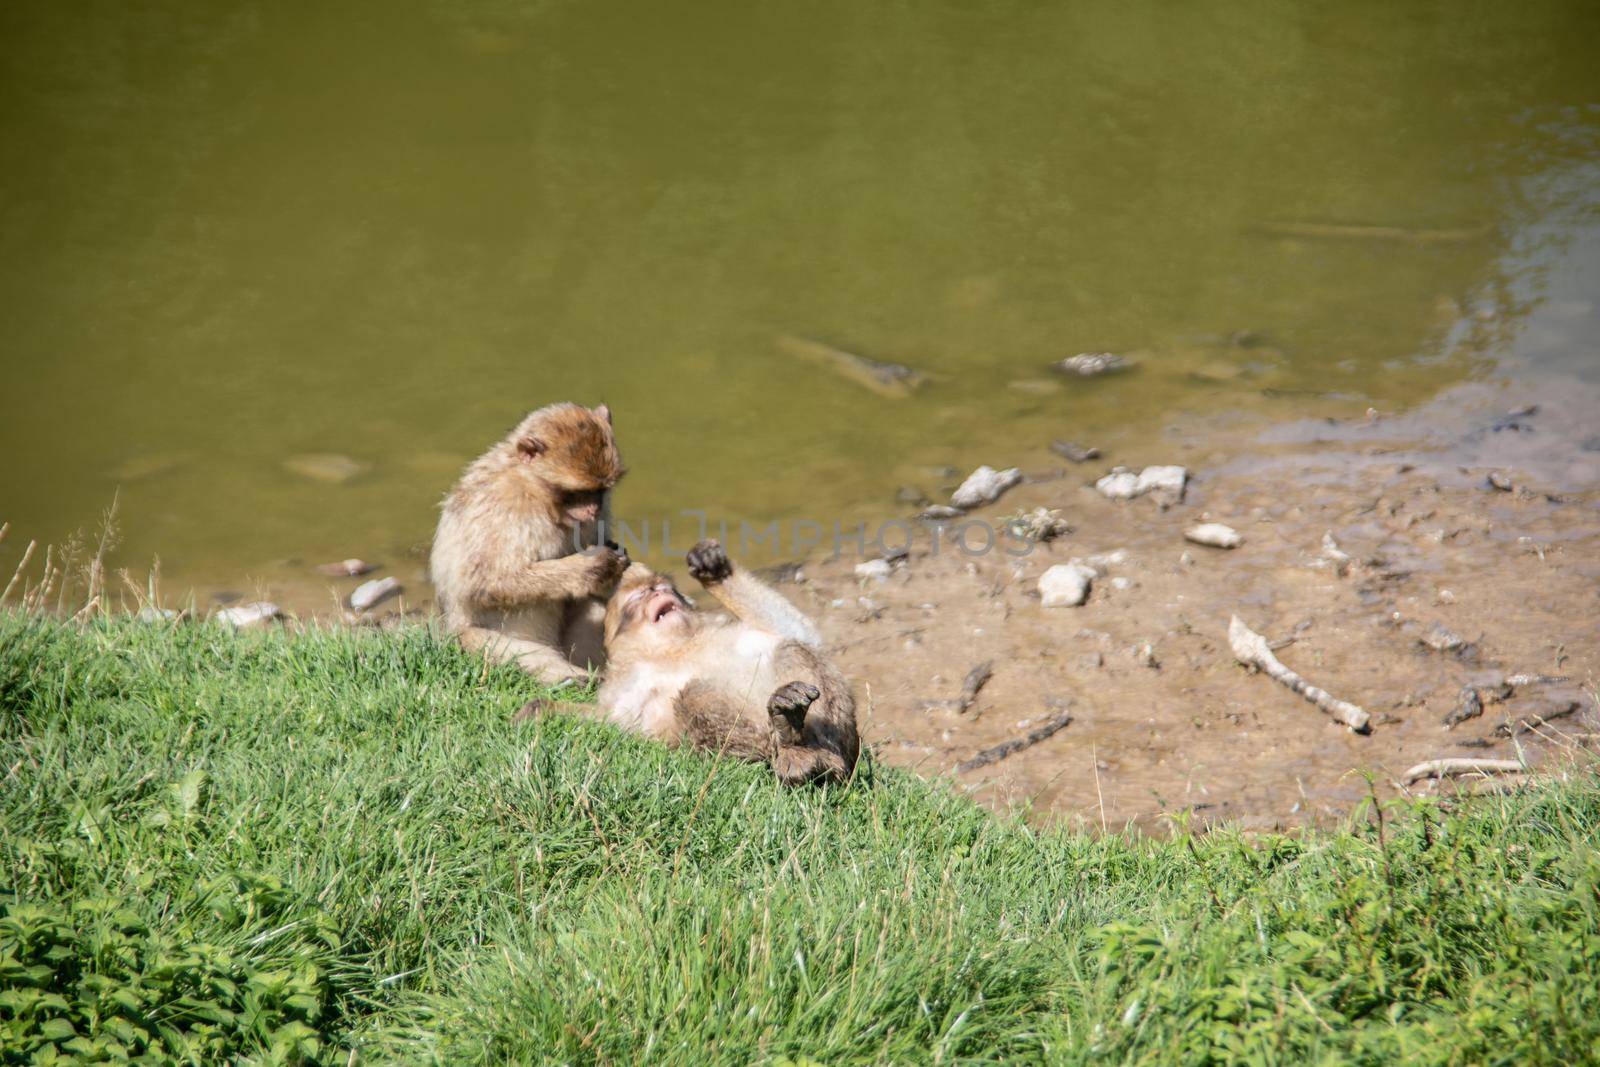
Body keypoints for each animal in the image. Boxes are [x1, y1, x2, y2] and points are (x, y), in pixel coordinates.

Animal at [432, 404, 630, 687]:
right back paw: (573, 677)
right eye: (575, 493)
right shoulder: (504, 506)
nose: (593, 509)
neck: (535, 489)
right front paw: (595, 567)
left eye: (600, 490)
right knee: (480, 641)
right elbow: (484, 582)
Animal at [528, 543, 864, 783]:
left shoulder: (720, 625)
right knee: (694, 695)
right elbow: (616, 723)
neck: (671, 649)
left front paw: (714, 569)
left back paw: (800, 737)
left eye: (662, 587)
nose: (657, 592)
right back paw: (787, 734)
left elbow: (799, 631)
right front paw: (540, 710)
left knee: (790, 650)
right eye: (639, 596)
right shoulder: (625, 685)